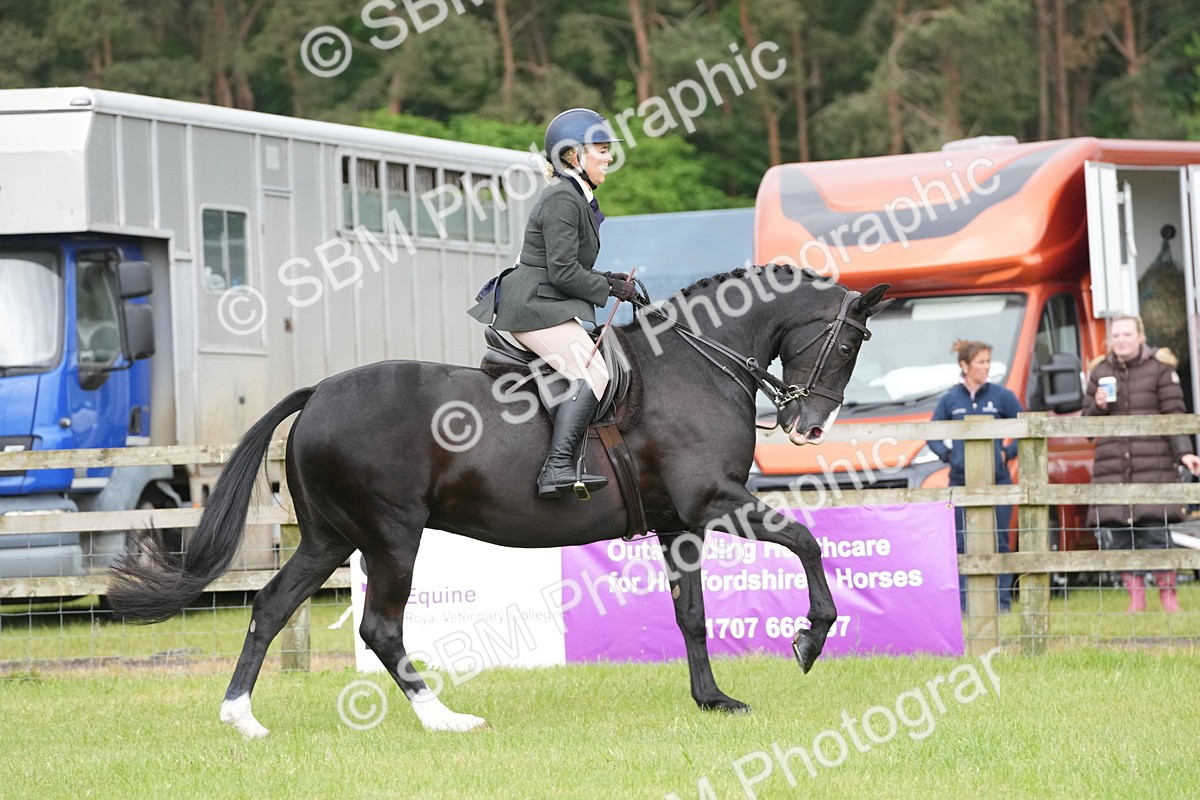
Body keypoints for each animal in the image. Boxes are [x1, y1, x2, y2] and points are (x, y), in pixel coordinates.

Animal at [108, 266, 891, 738]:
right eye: (852, 342)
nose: (807, 425)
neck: (698, 365)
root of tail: (319, 392)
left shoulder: (680, 524)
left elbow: (692, 616)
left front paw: (714, 701)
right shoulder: (715, 502)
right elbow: (807, 541)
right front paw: (809, 640)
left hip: (331, 537)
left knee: (271, 607)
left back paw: (241, 718)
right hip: (392, 536)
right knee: (380, 627)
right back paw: (442, 719)